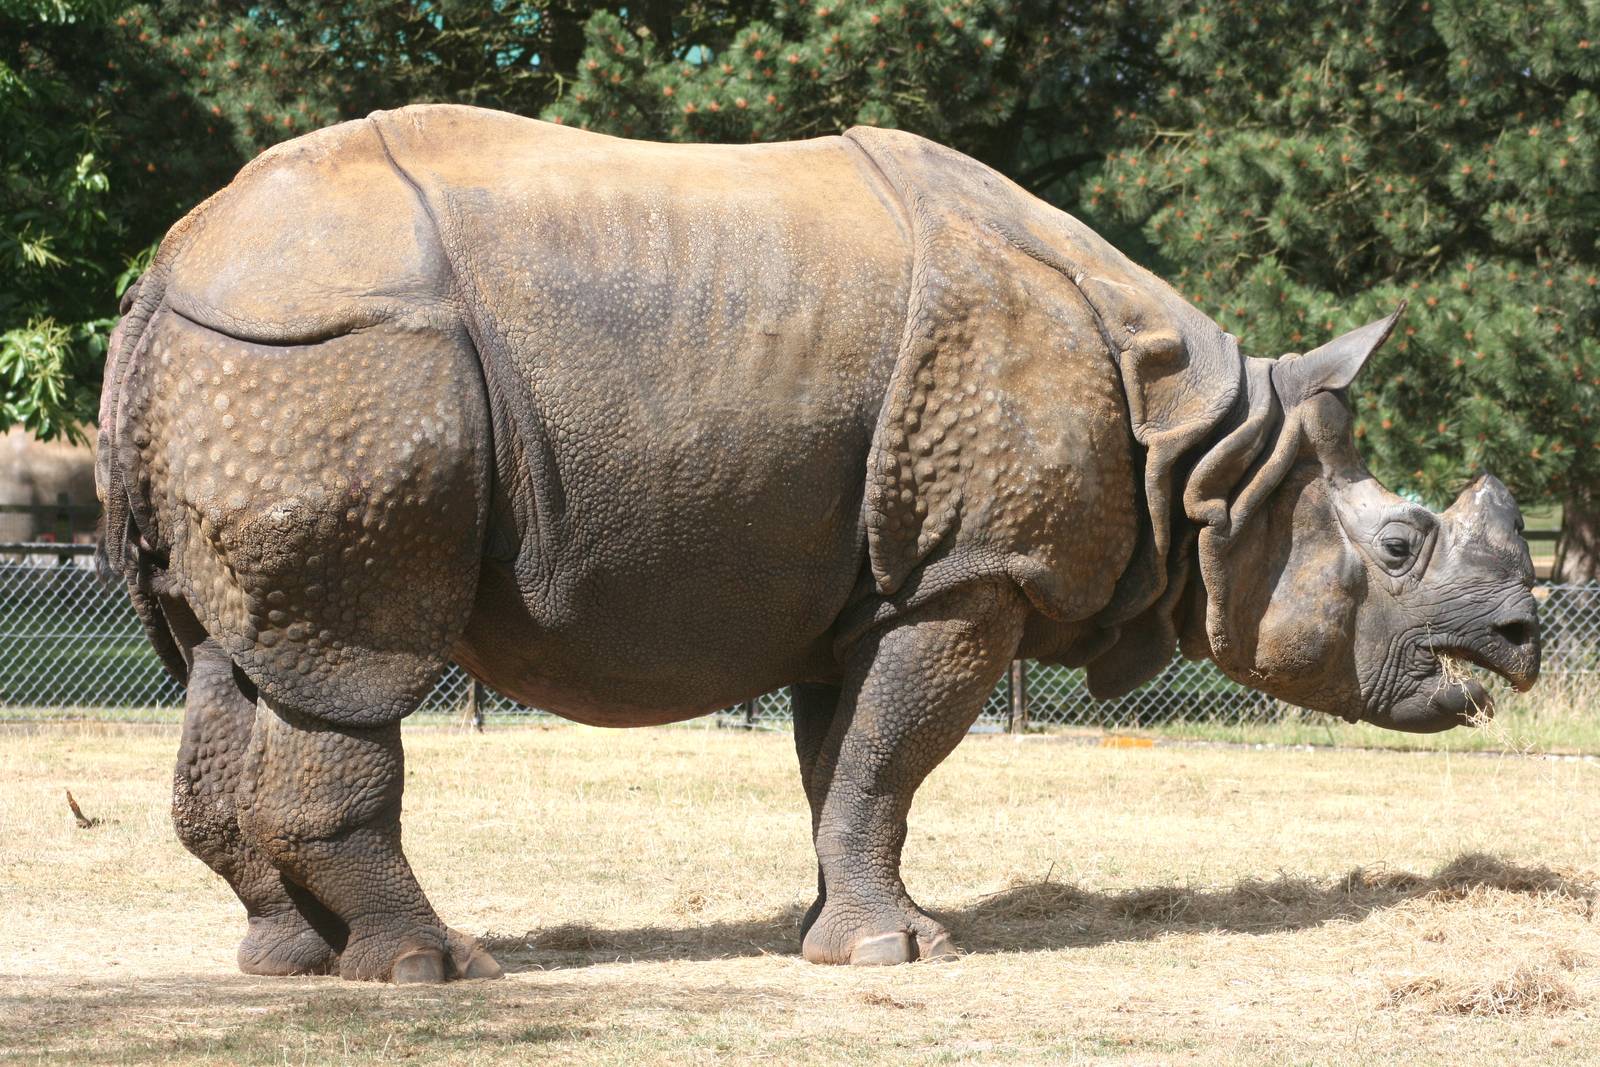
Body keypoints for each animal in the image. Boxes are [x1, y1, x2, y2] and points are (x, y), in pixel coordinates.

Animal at [97, 105, 1541, 982]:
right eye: (1401, 543)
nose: (1523, 636)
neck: (1204, 455)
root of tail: (163, 273)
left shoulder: (877, 579)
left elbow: (845, 765)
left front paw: (838, 936)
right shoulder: (971, 572)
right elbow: (889, 760)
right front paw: (910, 955)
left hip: (256, 377)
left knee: (240, 660)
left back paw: (289, 963)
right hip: (334, 365)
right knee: (355, 664)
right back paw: (435, 971)